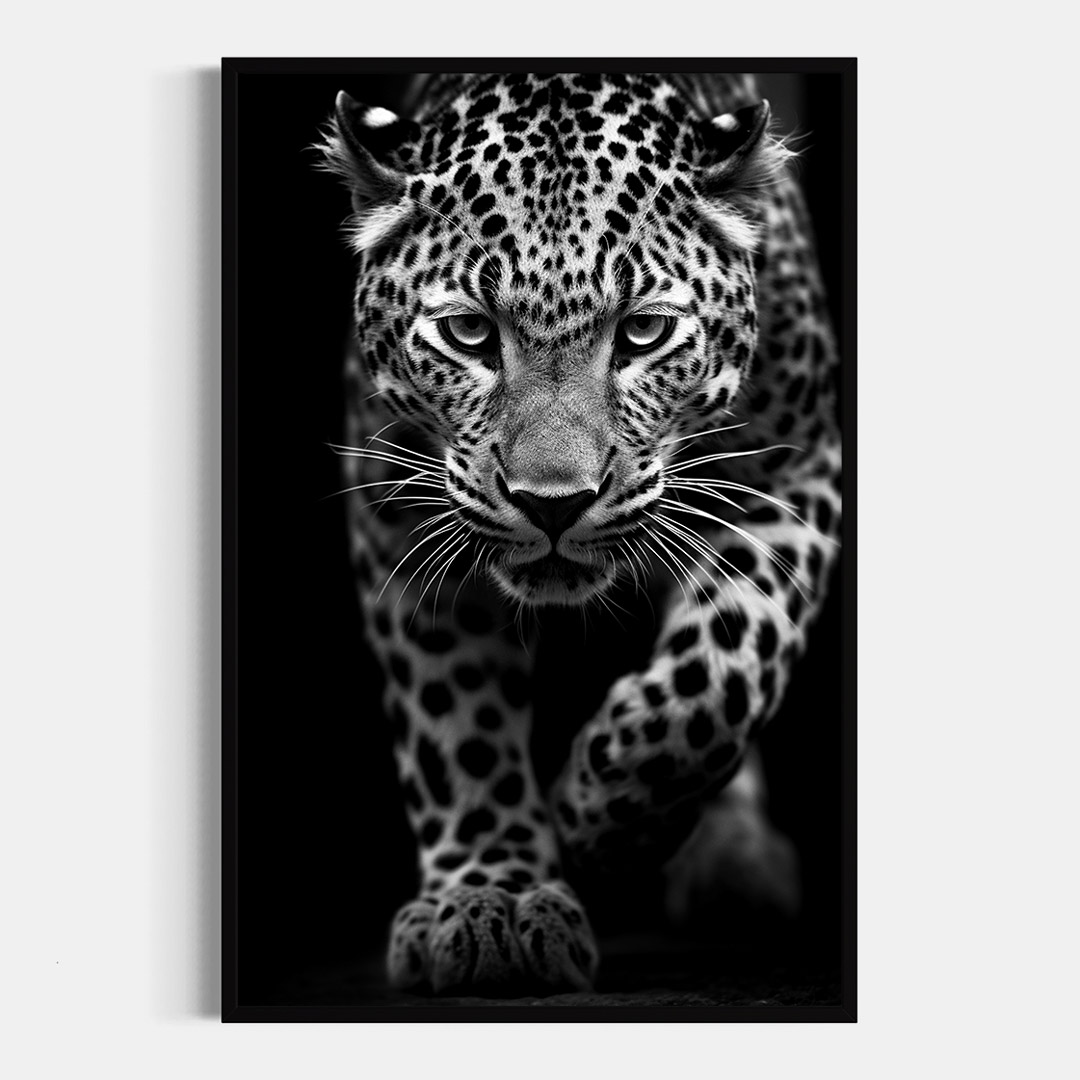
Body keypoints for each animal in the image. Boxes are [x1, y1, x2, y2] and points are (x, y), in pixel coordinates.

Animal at [316, 71, 841, 996]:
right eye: (469, 332)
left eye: (643, 331)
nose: (553, 502)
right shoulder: (398, 521)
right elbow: (456, 721)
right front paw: (489, 896)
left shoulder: (797, 468)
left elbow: (722, 672)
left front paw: (601, 821)